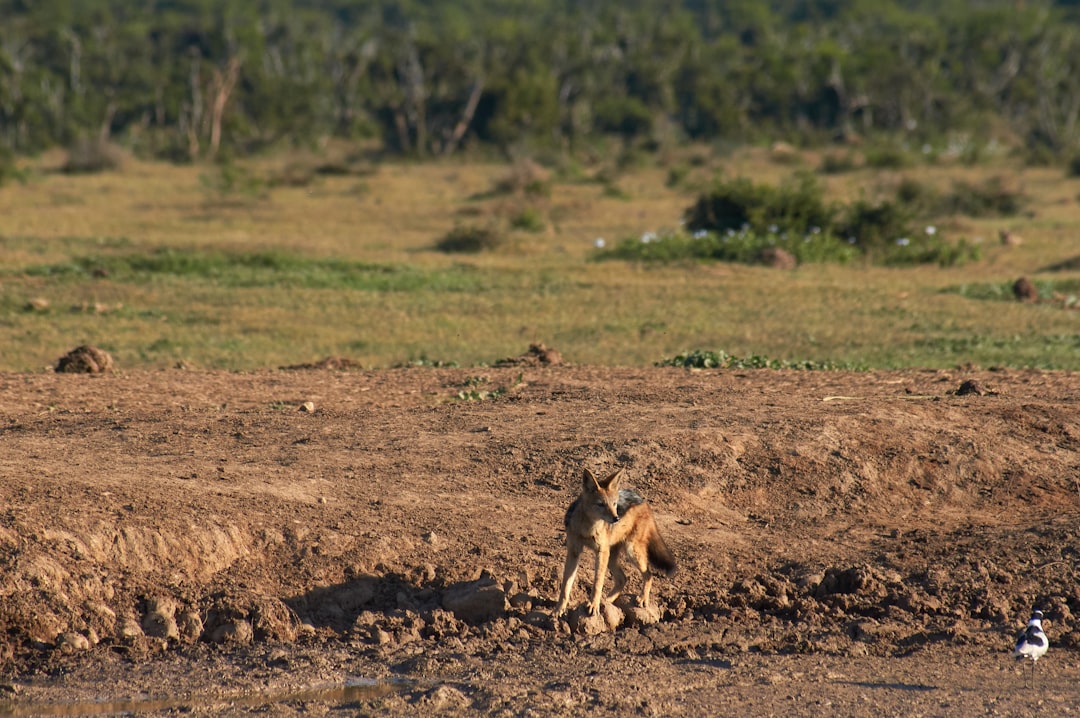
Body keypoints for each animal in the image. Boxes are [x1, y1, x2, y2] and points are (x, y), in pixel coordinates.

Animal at [557, 464, 673, 617]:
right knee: (623, 579)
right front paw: (559, 609)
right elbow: (566, 584)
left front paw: (593, 606)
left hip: (630, 552)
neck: (587, 529)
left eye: (614, 504)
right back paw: (607, 600)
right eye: (601, 504)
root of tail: (642, 500)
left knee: (649, 575)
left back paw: (642, 599)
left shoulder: (601, 552)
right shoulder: (573, 552)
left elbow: (597, 583)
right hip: (612, 558)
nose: (616, 518)